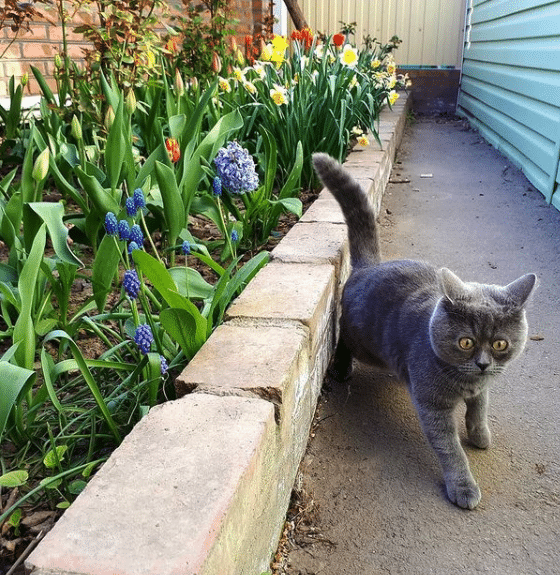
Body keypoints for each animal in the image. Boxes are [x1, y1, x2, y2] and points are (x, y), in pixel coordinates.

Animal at [312, 152, 536, 508]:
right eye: (465, 342)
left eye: (500, 344)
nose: (483, 363)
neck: (466, 382)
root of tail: (370, 266)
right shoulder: (434, 407)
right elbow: (451, 449)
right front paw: (463, 487)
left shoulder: (483, 389)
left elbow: (480, 410)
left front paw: (480, 435)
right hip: (362, 341)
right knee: (341, 339)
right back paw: (343, 369)